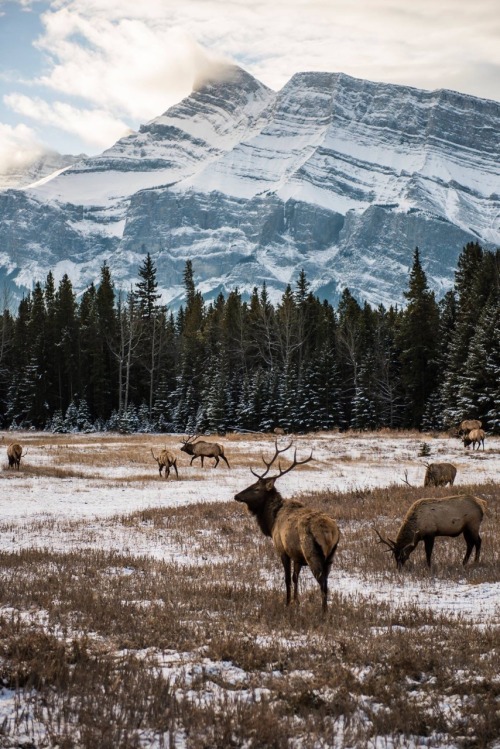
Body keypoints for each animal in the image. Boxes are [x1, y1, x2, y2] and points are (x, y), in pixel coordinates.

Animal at [234, 442, 340, 612]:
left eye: (256, 488)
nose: (236, 496)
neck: (271, 522)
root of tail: (329, 532)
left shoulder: (282, 549)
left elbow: (287, 579)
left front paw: (287, 602)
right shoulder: (296, 555)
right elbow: (295, 577)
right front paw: (297, 602)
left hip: (312, 553)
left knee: (322, 584)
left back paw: (323, 613)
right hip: (331, 555)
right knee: (326, 582)